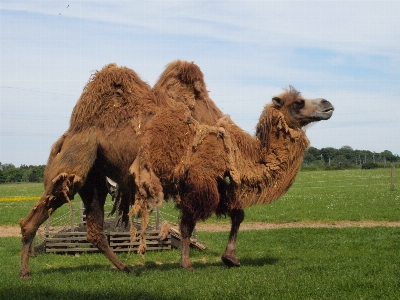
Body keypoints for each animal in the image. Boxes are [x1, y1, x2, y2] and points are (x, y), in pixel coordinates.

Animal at [18, 61, 222, 278]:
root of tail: (67, 136)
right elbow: (188, 225)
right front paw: (191, 263)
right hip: (73, 171)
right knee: (36, 216)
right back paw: (24, 271)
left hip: (93, 181)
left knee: (94, 229)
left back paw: (125, 267)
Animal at [135, 85, 334, 270]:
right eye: (299, 102)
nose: (328, 104)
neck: (242, 152)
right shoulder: (199, 181)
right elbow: (187, 224)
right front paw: (186, 263)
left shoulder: (217, 181)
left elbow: (237, 214)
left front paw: (230, 258)